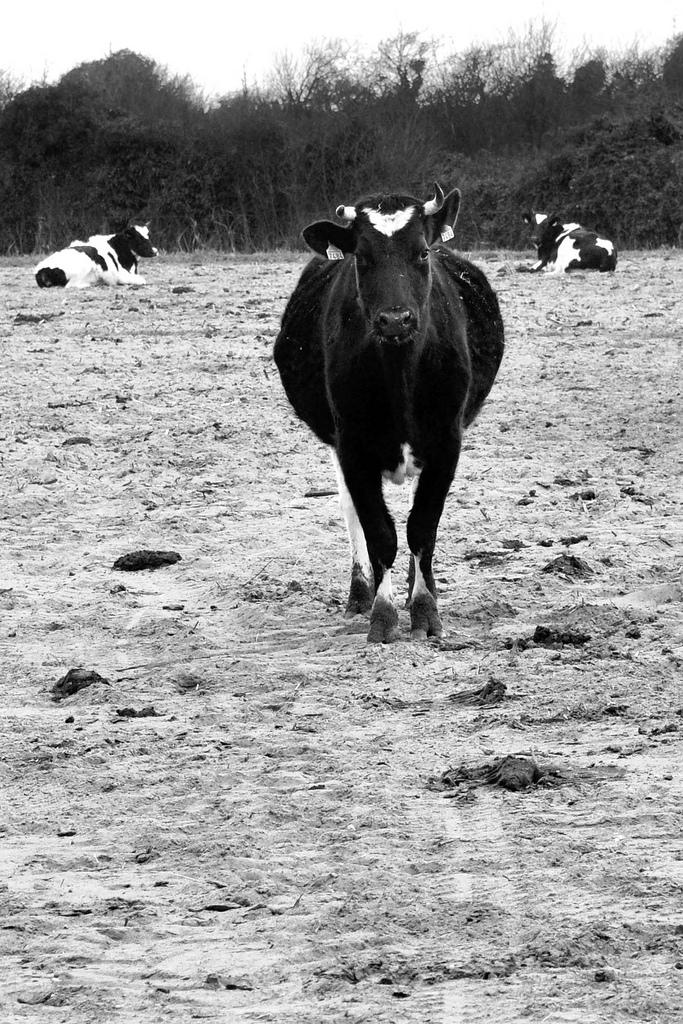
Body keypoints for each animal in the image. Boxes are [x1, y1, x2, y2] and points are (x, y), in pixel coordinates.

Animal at [273, 183, 504, 644]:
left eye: (422, 253)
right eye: (361, 257)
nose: (395, 319)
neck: (400, 375)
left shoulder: (446, 442)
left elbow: (422, 528)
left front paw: (425, 609)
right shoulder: (352, 447)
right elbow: (379, 532)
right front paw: (382, 611)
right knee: (353, 515)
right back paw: (360, 593)